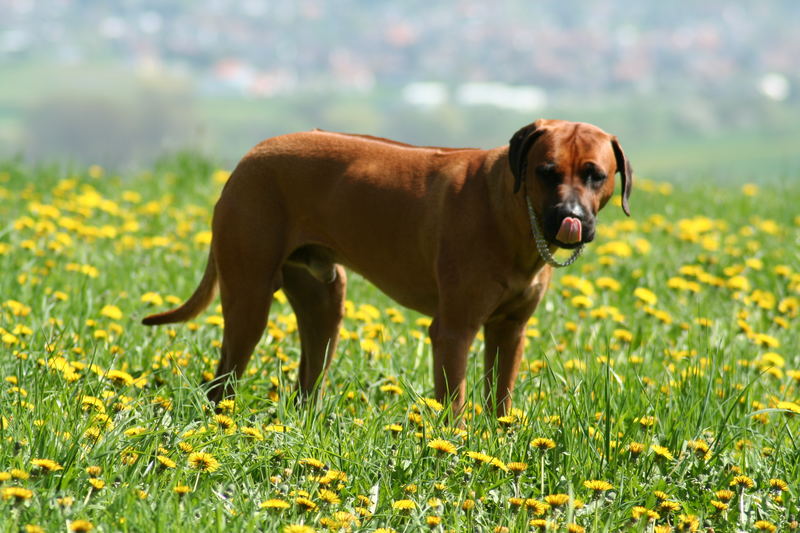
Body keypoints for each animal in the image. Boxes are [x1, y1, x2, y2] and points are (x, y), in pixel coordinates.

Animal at [142, 118, 632, 414]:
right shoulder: (453, 331)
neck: (511, 211)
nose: (570, 216)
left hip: (324, 304)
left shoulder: (510, 331)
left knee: (308, 378)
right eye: (546, 171)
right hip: (249, 299)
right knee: (222, 378)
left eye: (595, 175)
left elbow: (502, 399)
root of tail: (249, 156)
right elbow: (454, 405)